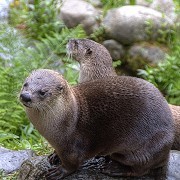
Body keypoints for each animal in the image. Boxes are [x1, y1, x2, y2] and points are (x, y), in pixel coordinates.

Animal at [20, 68, 174, 179]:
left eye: (43, 92)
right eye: (25, 83)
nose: (25, 96)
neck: (67, 117)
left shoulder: (72, 146)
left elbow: (72, 164)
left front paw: (58, 171)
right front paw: (54, 155)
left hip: (144, 150)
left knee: (141, 169)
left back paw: (114, 169)